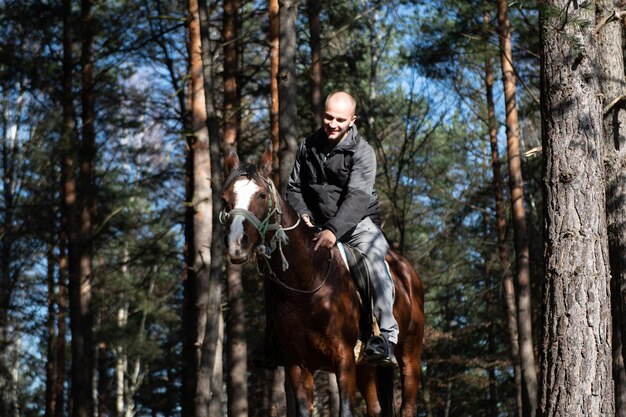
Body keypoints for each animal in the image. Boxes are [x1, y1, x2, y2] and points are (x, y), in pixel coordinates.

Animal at [221, 150, 424, 416]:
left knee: (407, 404)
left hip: (409, 354)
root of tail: (408, 272)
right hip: (365, 367)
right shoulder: (297, 364)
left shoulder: (344, 359)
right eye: (225, 198)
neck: (308, 285)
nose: (237, 243)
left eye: (262, 195)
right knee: (376, 407)